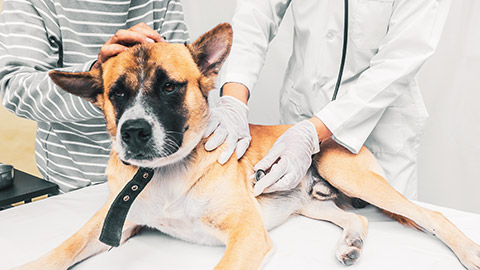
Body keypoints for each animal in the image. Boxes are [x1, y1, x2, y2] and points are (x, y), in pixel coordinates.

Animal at [15, 23, 480, 270]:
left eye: (170, 87)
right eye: (117, 94)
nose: (132, 132)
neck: (164, 174)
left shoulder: (247, 234)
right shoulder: (113, 220)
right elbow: (63, 248)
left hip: (346, 173)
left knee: (433, 216)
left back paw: (468, 251)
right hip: (305, 202)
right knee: (356, 218)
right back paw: (351, 244)